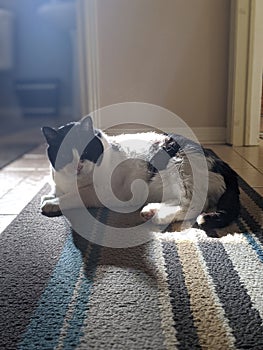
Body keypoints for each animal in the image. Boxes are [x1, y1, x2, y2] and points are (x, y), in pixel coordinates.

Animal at [41, 115, 241, 230]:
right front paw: (49, 196)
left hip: (175, 169)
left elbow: (74, 197)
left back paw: (157, 216)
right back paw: (150, 210)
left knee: (191, 204)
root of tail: (221, 162)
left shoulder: (100, 193)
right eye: (65, 155)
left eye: (86, 151)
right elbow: (56, 190)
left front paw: (52, 203)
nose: (78, 166)